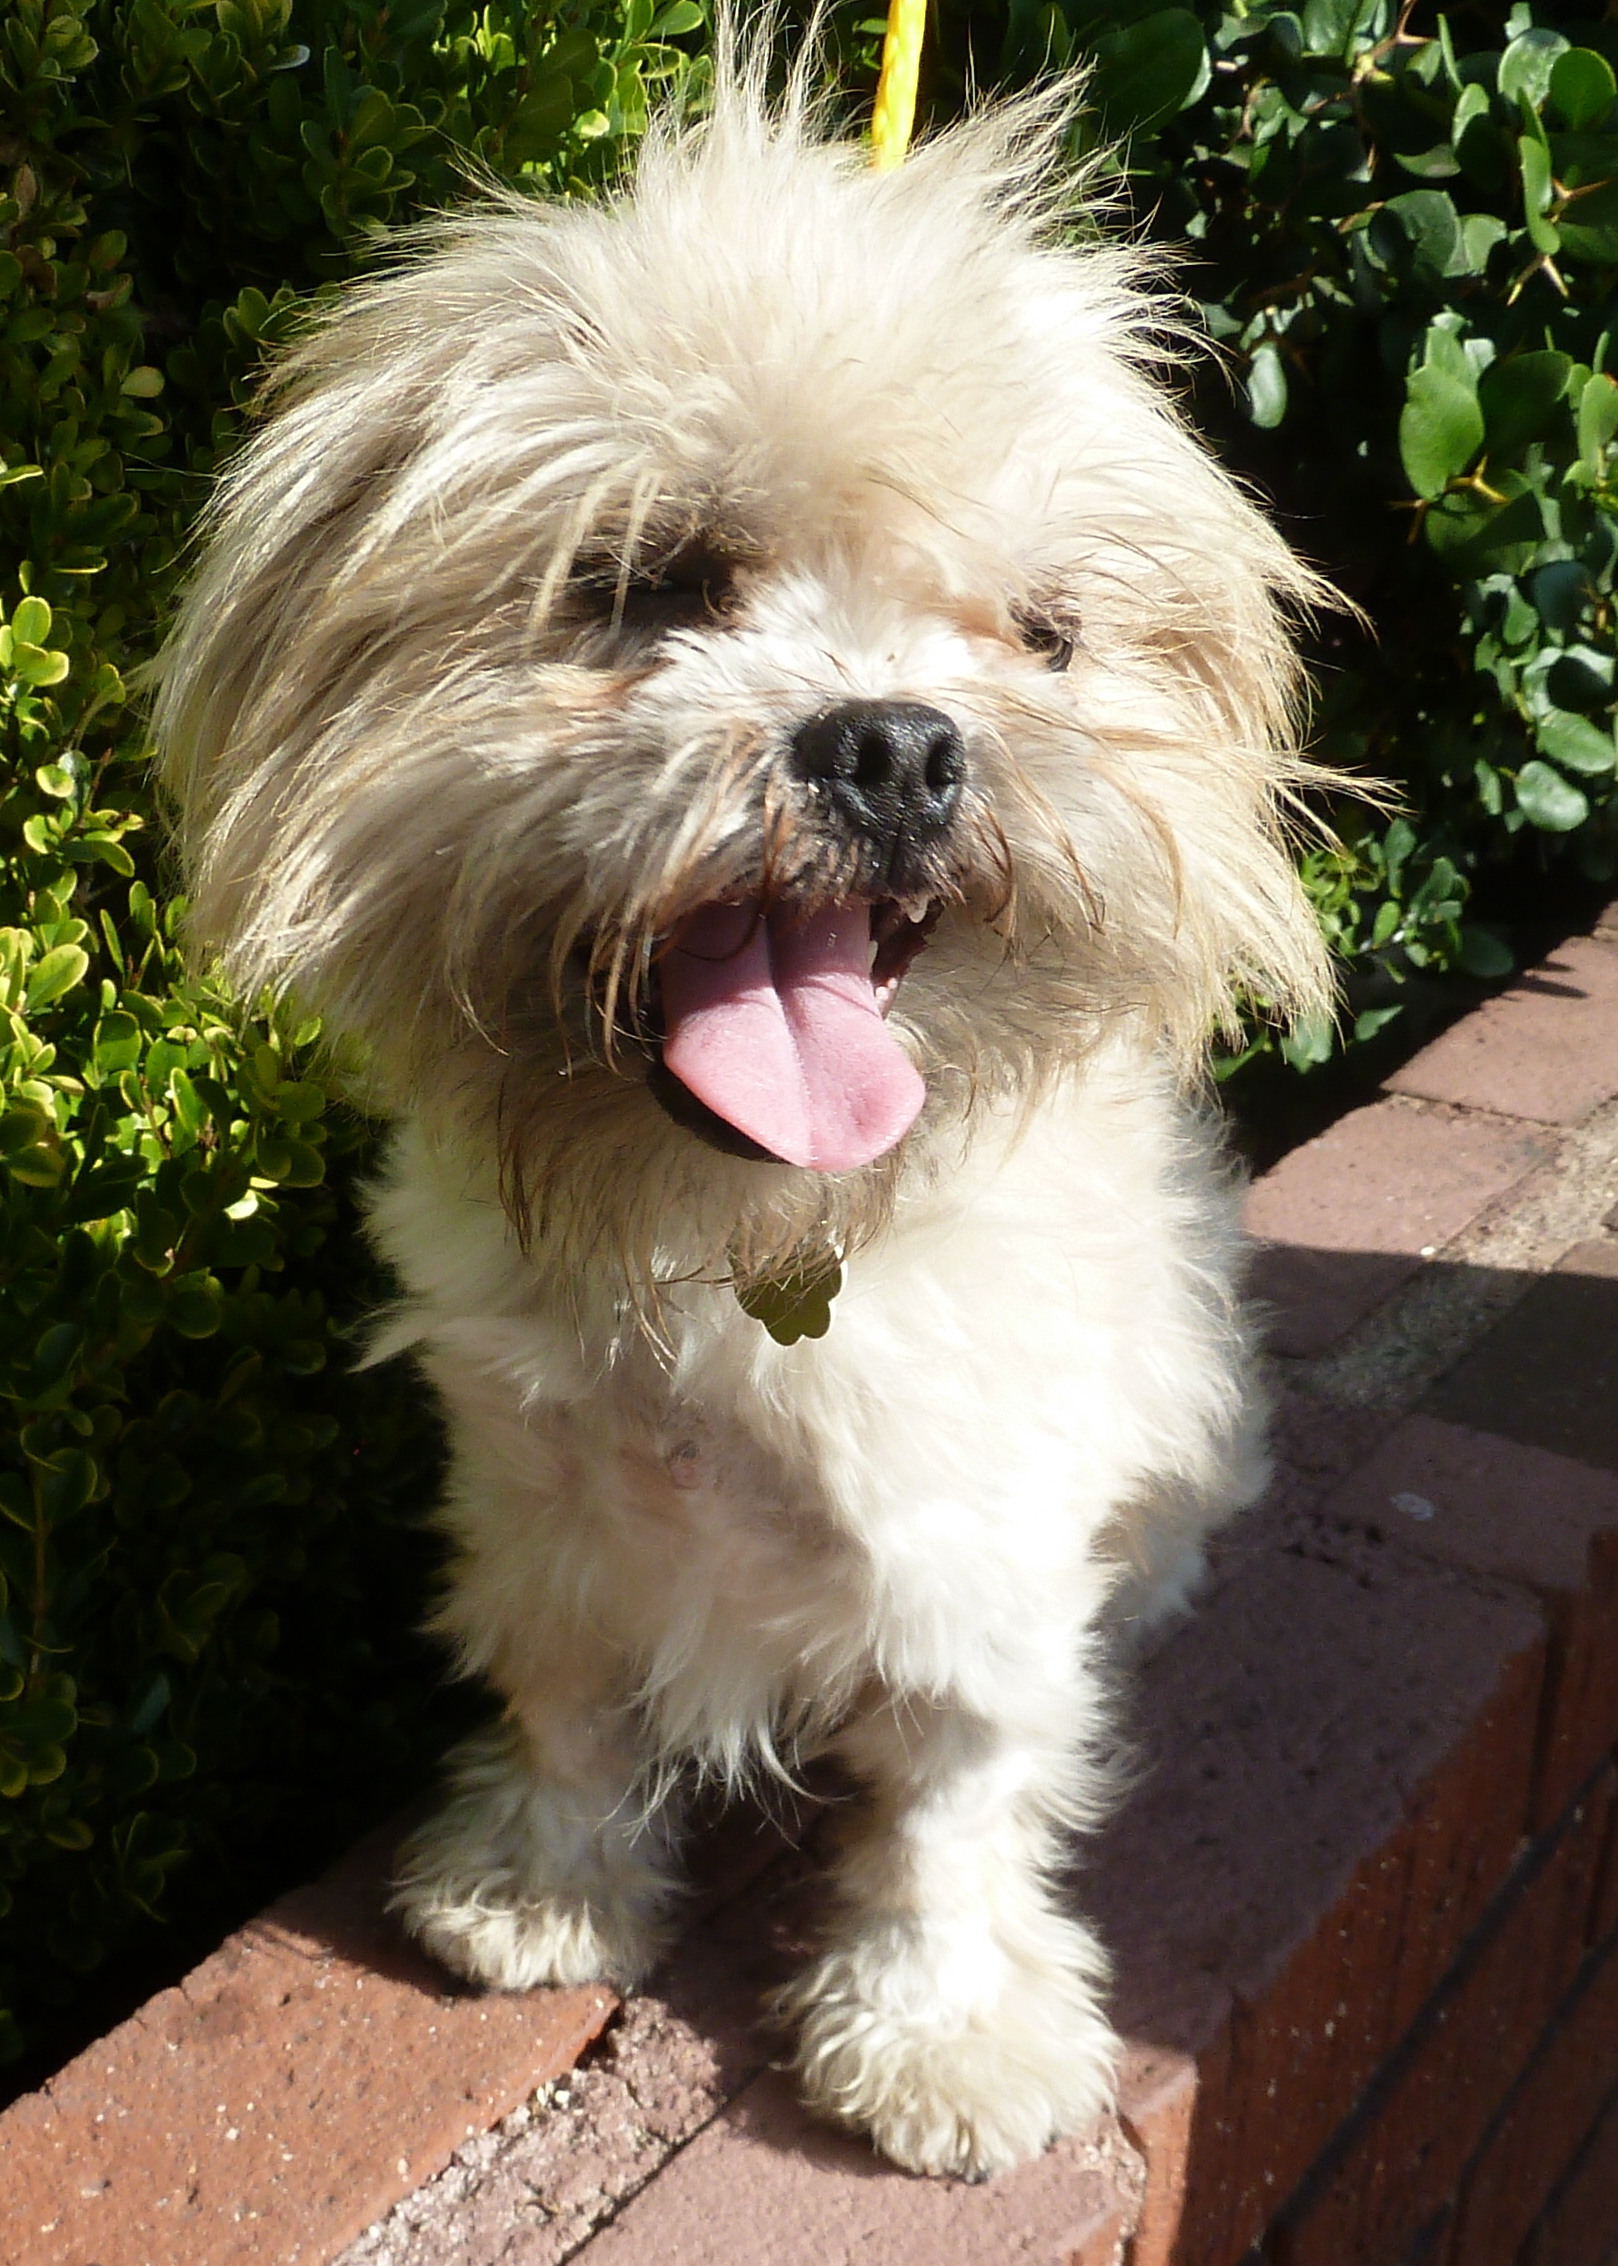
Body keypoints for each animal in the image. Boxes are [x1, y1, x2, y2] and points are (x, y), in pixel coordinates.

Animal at [154, 48, 1323, 2175]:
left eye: (1040, 633)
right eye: (648, 581)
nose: (895, 742)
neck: (740, 1238)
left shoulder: (974, 1559)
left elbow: (952, 1806)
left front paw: (940, 2032)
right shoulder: (533, 1492)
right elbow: (562, 1696)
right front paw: (542, 1882)